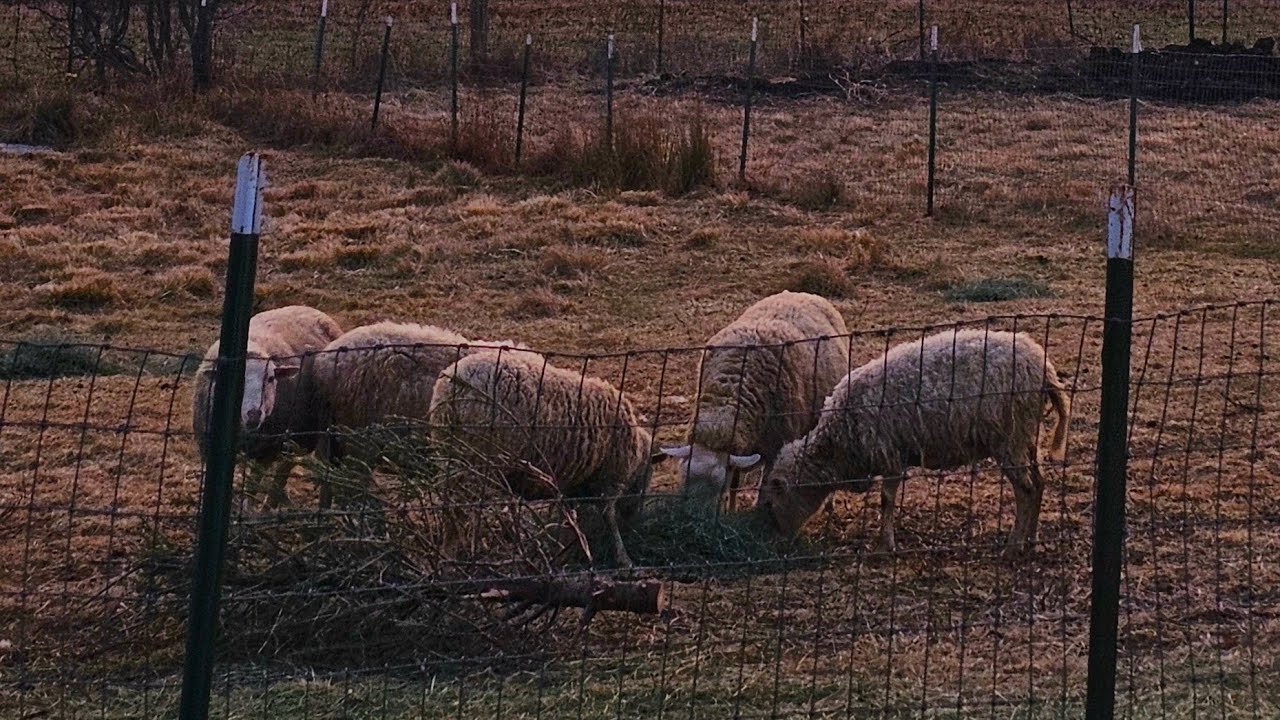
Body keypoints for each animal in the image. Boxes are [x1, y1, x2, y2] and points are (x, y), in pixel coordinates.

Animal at [192, 305, 343, 508]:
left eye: (271, 378)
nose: (254, 414)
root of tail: (313, 310)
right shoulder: (206, 445)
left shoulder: (265, 450)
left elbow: (252, 485)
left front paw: (246, 508)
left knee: (303, 465)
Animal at [429, 350, 664, 569]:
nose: (634, 519)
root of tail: (454, 387)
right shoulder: (609, 480)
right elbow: (609, 519)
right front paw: (623, 558)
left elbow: (570, 521)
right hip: (477, 457)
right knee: (464, 509)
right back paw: (462, 553)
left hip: (451, 456)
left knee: (451, 507)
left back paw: (450, 552)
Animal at [660, 291, 851, 511]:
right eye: (683, 480)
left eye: (718, 484)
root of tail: (802, 293)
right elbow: (735, 484)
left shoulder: (776, 446)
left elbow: (762, 487)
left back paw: (830, 503)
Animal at [755, 328, 1070, 556]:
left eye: (771, 504)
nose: (781, 544)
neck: (838, 443)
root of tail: (1042, 368)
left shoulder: (889, 455)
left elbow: (886, 501)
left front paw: (885, 546)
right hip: (1027, 436)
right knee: (1039, 483)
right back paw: (1031, 539)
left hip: (1008, 437)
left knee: (1026, 490)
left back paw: (1013, 546)